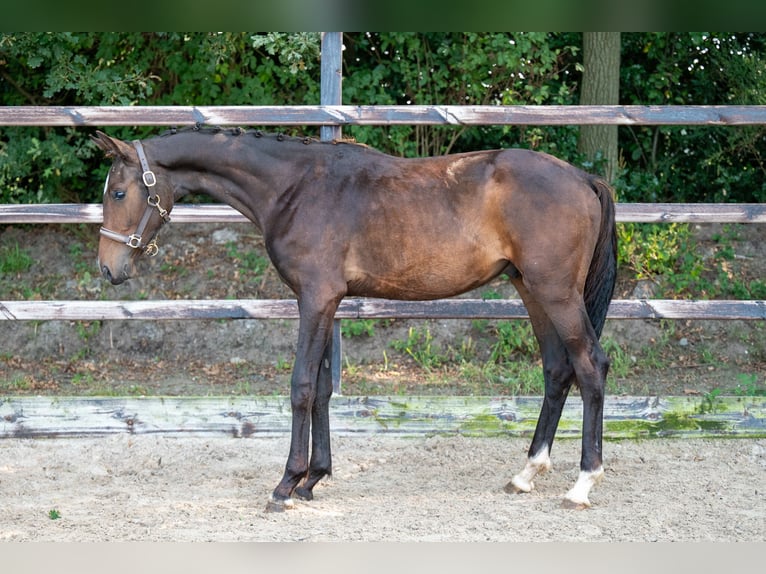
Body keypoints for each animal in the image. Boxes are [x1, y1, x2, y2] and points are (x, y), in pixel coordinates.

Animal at [93, 128, 616, 510]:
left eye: (118, 192)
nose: (108, 269)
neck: (295, 186)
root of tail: (583, 178)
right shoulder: (328, 301)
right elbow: (323, 388)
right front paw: (313, 479)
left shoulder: (315, 298)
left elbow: (302, 386)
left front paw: (286, 484)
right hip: (531, 289)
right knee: (557, 370)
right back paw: (526, 474)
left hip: (555, 293)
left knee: (591, 365)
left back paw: (582, 484)